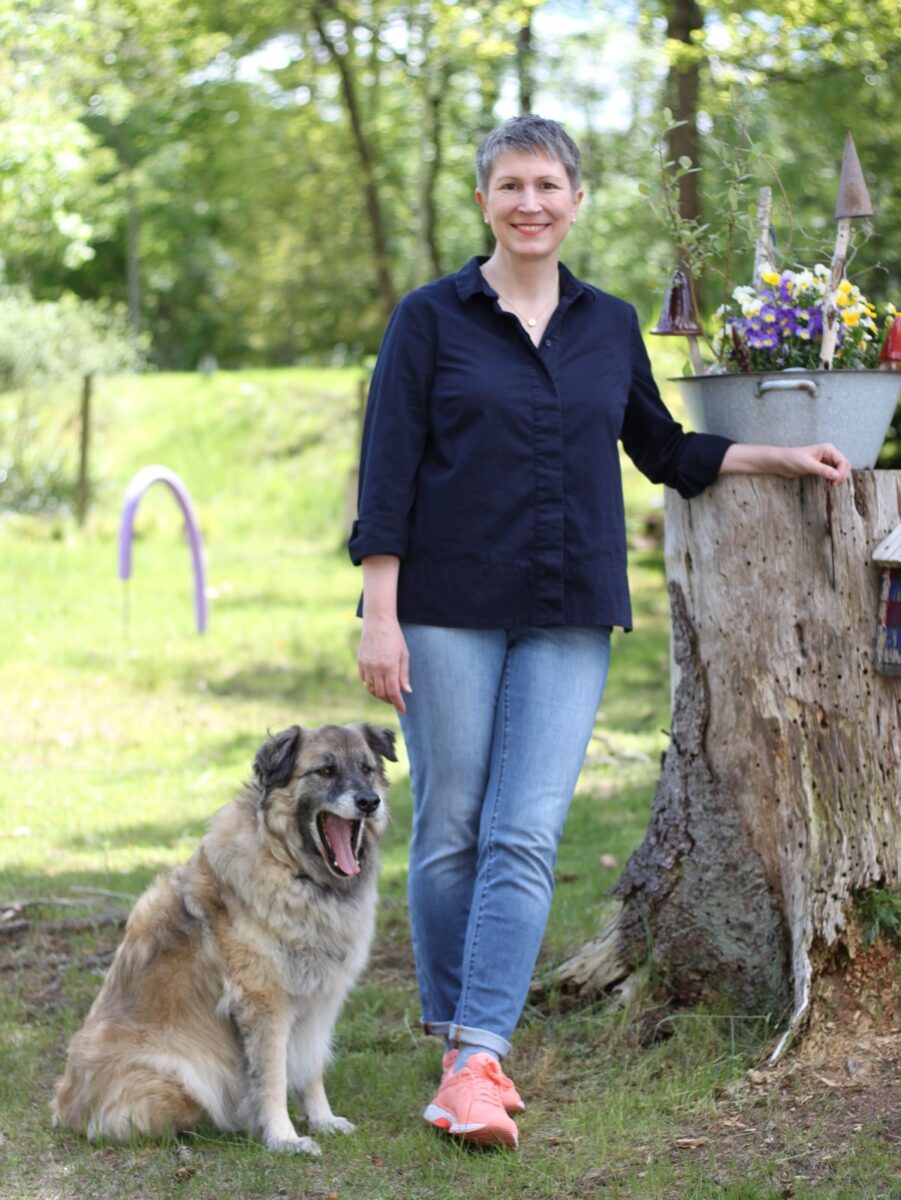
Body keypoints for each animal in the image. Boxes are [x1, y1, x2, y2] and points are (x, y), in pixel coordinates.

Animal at [52, 720, 395, 1152]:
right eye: (326, 770)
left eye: (367, 769)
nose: (369, 802)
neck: (290, 866)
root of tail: (65, 1109)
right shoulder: (264, 1003)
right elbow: (273, 1078)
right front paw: (284, 1138)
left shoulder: (320, 1001)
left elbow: (311, 1067)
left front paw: (323, 1120)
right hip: (181, 1080)